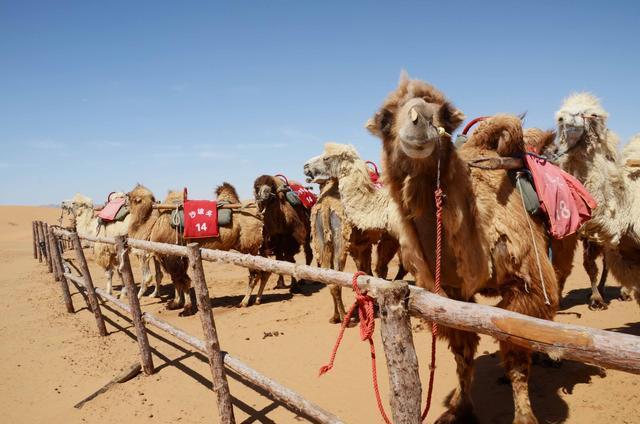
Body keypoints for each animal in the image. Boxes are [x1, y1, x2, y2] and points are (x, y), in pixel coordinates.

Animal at [127, 182, 270, 314]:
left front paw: (186, 308)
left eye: (132, 199)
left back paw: (244, 302)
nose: (125, 201)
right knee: (265, 271)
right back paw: (258, 299)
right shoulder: (176, 255)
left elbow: (182, 280)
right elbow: (177, 280)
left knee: (254, 275)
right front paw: (175, 303)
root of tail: (260, 216)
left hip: (250, 248)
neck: (153, 224)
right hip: (259, 248)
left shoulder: (172, 256)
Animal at [368, 73, 556, 424]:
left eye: (444, 114)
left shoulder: (525, 283)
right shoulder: (451, 293)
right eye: (385, 118)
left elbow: (516, 354)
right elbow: (462, 352)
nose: (419, 121)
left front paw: (524, 416)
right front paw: (460, 409)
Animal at [556, 92, 640, 304]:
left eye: (592, 114)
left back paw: (623, 293)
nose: (565, 118)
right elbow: (590, 265)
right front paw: (596, 299)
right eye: (560, 117)